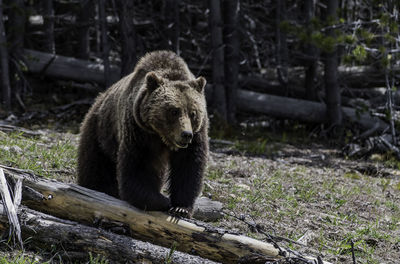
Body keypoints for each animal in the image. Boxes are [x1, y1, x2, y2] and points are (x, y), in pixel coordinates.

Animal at [78, 50, 209, 217]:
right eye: (174, 111)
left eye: (193, 113)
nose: (186, 134)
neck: (161, 136)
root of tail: (100, 97)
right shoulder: (138, 131)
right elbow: (138, 166)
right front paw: (161, 201)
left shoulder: (197, 135)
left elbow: (188, 167)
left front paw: (180, 207)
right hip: (100, 130)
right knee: (95, 165)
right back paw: (97, 188)